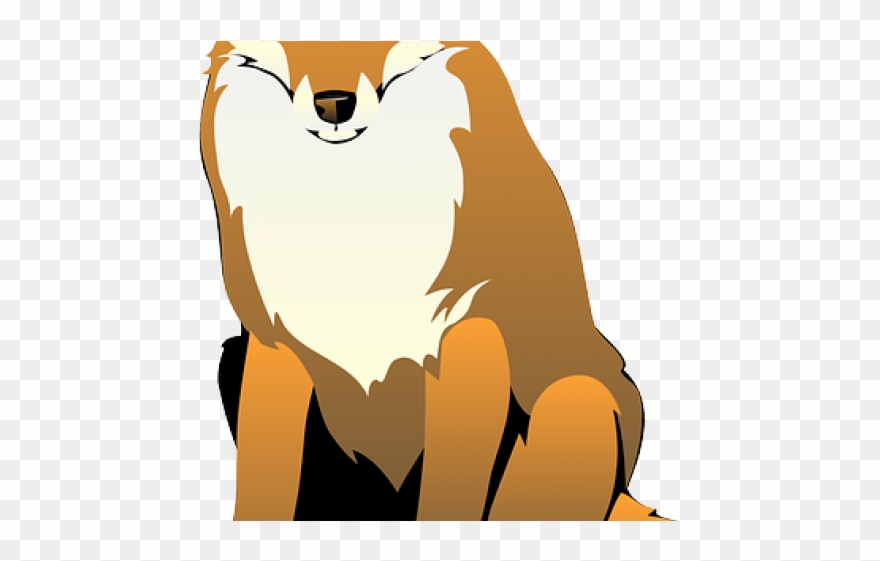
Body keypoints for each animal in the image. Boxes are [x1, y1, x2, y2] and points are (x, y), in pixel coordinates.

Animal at [200, 40, 666, 521]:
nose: (333, 104)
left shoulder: (469, 333)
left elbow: (450, 494)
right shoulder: (272, 341)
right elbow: (262, 482)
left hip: (575, 397)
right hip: (233, 358)